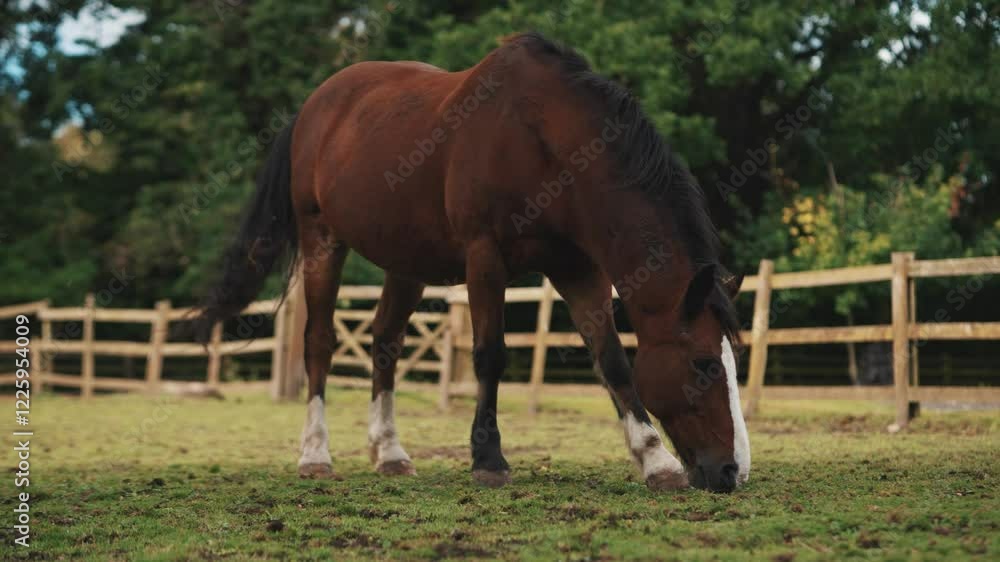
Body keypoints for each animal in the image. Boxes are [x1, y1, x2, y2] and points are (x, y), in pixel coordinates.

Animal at [194, 32, 750, 493]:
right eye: (703, 363)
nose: (732, 471)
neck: (545, 142)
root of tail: (316, 105)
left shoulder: (579, 270)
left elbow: (612, 359)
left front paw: (655, 460)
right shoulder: (485, 260)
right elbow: (490, 354)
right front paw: (489, 459)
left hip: (407, 262)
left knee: (385, 341)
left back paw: (389, 452)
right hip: (322, 243)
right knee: (318, 343)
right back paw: (315, 455)